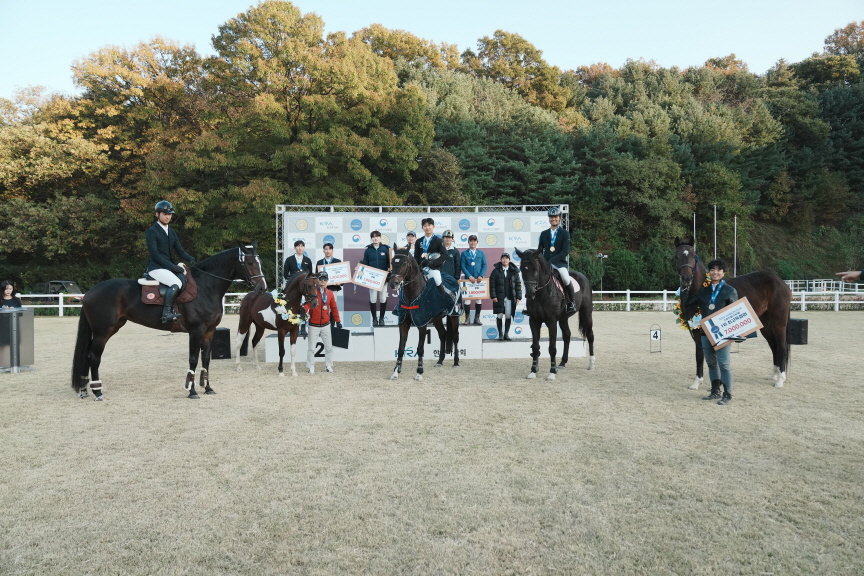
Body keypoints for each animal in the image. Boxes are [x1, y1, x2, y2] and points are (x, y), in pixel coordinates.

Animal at [71, 244, 266, 400]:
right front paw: (192, 391)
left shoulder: (210, 331)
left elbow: (206, 360)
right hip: (103, 332)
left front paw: (208, 388)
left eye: (259, 262)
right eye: (250, 263)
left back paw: (84, 390)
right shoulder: (196, 331)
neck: (205, 287)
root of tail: (89, 293)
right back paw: (97, 391)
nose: (262, 288)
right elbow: (193, 359)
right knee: (93, 357)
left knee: (89, 356)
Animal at [388, 245, 462, 380]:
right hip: (437, 319)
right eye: (392, 262)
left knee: (455, 336)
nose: (393, 284)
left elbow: (420, 348)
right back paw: (440, 361)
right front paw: (396, 371)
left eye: (404, 263)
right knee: (443, 335)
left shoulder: (422, 324)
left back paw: (456, 362)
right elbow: (401, 348)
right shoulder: (403, 323)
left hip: (454, 315)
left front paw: (419, 372)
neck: (412, 293)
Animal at [512, 246, 592, 378]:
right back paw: (563, 362)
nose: (529, 294)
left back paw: (591, 363)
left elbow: (552, 348)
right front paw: (533, 370)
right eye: (522, 269)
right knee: (567, 336)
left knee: (590, 335)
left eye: (535, 269)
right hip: (564, 318)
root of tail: (583, 277)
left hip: (587, 312)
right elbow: (535, 347)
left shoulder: (552, 322)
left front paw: (552, 372)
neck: (541, 293)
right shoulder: (534, 321)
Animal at [672, 236, 792, 390]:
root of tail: (781, 283)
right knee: (774, 345)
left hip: (779, 323)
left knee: (781, 346)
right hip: (766, 325)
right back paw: (775, 375)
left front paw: (704, 383)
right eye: (677, 256)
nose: (686, 279)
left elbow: (703, 355)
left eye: (694, 256)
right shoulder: (696, 330)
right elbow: (701, 355)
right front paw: (701, 382)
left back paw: (780, 380)